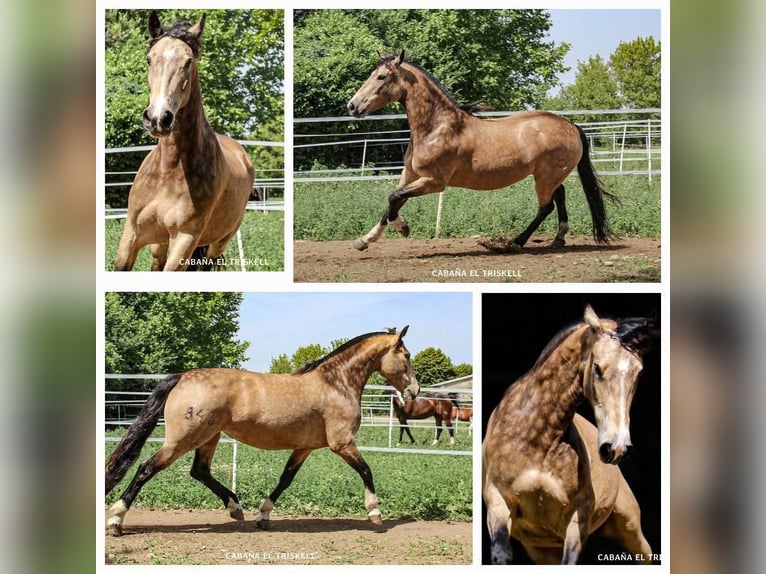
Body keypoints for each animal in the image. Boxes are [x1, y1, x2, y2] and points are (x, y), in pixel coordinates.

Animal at [105, 327, 419, 536]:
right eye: (406, 354)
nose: (414, 391)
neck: (335, 384)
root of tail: (182, 376)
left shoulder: (304, 447)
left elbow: (285, 480)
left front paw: (263, 515)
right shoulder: (342, 443)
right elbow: (366, 471)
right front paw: (375, 514)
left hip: (209, 437)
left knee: (200, 471)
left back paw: (235, 508)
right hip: (182, 439)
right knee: (146, 468)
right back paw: (116, 520)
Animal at [114, 12, 254, 271]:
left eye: (188, 62)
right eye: (149, 59)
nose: (158, 118)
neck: (169, 170)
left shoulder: (185, 238)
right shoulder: (132, 234)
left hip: (218, 243)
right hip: (158, 244)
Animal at [347, 52, 616, 252]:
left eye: (381, 77)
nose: (352, 106)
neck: (437, 127)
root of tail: (571, 125)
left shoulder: (434, 182)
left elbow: (393, 198)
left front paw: (403, 228)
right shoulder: (411, 176)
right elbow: (393, 201)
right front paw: (365, 240)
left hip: (545, 178)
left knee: (546, 207)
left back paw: (514, 243)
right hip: (549, 176)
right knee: (559, 197)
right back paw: (557, 239)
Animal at [482, 305, 657, 564]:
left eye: (638, 373)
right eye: (597, 368)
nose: (616, 448)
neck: (538, 438)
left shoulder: (577, 517)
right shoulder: (498, 502)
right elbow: (501, 554)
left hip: (630, 526)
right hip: (541, 549)